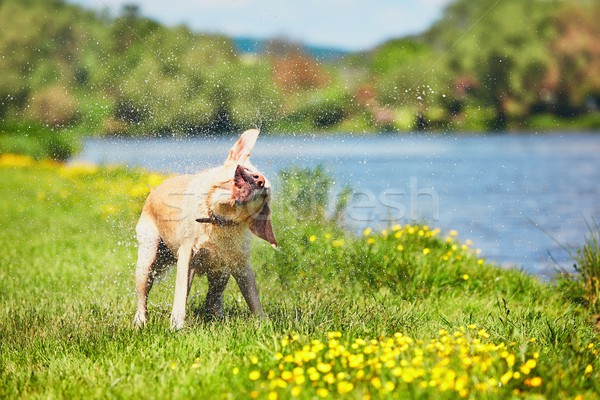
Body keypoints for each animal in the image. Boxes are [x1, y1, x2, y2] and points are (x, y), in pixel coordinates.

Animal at [134, 130, 276, 330]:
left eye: (264, 195)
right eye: (252, 172)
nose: (260, 181)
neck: (216, 218)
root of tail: (153, 191)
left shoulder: (240, 264)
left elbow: (252, 297)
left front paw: (264, 323)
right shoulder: (187, 254)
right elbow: (180, 293)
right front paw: (177, 325)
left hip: (220, 270)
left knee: (213, 297)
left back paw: (218, 317)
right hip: (148, 259)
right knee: (143, 296)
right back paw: (140, 321)